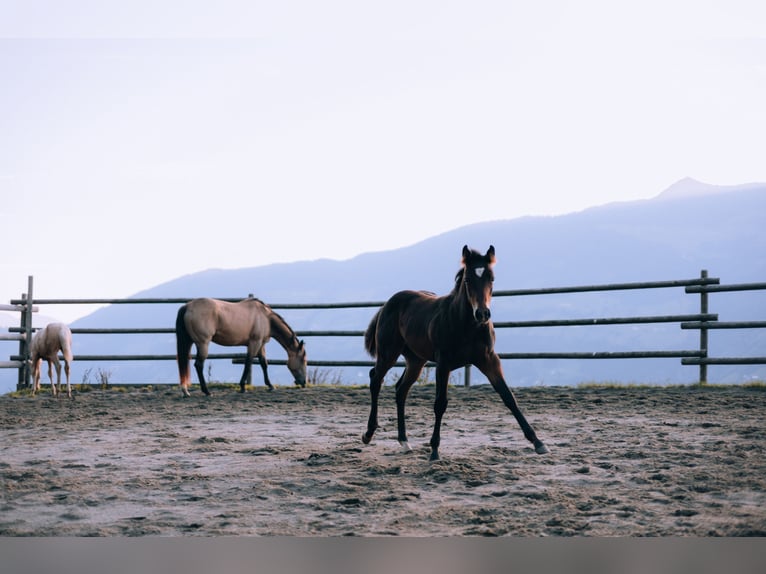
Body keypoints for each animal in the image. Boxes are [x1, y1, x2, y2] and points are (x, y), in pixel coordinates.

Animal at [364, 245, 548, 462]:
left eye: (491, 278)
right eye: (467, 280)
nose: (482, 314)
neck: (468, 325)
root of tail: (387, 304)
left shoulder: (489, 360)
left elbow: (508, 396)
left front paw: (538, 442)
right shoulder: (444, 363)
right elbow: (440, 403)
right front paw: (434, 450)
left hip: (416, 360)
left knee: (401, 390)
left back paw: (404, 441)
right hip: (388, 353)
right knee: (375, 379)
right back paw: (368, 433)